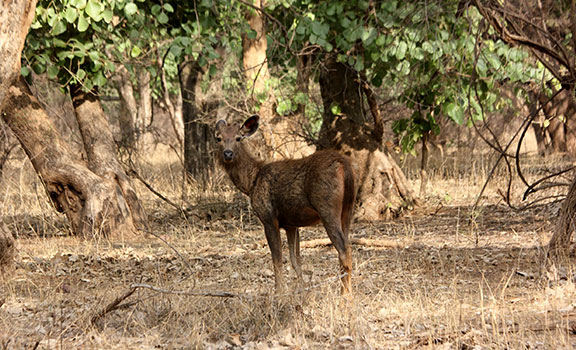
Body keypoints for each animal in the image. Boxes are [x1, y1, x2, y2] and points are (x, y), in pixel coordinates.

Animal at [214, 116, 354, 294]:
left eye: (238, 138)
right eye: (218, 138)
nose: (228, 153)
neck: (251, 183)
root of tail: (343, 163)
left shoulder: (268, 218)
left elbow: (277, 258)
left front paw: (279, 292)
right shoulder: (291, 224)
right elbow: (296, 260)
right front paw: (301, 289)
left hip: (327, 207)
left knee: (343, 250)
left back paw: (345, 296)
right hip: (348, 209)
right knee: (347, 247)